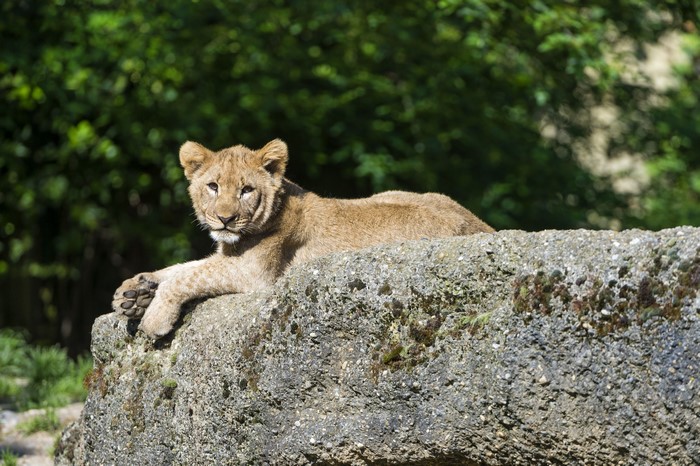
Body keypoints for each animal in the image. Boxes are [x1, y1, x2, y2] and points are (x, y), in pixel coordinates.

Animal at [113, 139, 494, 338]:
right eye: (213, 186)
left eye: (246, 190)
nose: (225, 219)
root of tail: (483, 227)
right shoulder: (226, 256)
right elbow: (182, 267)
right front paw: (132, 292)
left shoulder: (255, 275)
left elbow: (188, 276)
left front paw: (154, 318)